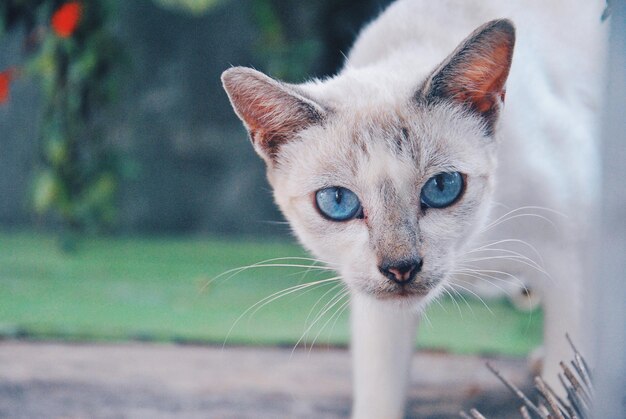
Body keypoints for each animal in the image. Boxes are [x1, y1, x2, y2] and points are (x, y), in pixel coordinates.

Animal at [218, 1, 604, 418]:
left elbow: (565, 386)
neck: (473, 250)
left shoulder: (575, 263)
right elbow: (379, 395)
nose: (400, 268)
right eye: (338, 201)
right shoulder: (377, 309)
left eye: (442, 187)